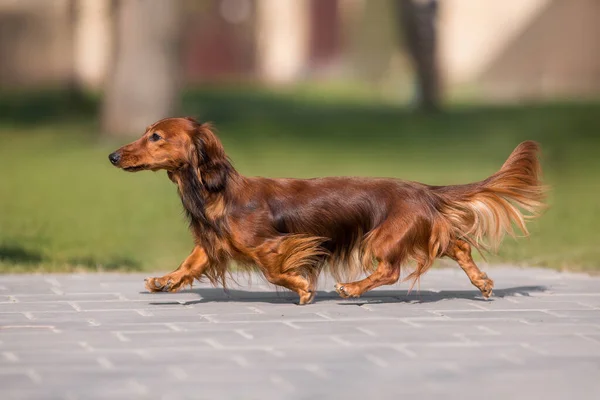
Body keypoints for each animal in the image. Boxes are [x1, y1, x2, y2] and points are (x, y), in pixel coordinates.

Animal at [108, 117, 544, 304]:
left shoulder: (271, 245)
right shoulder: (210, 247)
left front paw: (302, 288)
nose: (112, 156)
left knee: (390, 270)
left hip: (383, 237)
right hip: (418, 230)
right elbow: (187, 265)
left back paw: (351, 288)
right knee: (459, 246)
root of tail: (421, 189)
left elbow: (275, 271)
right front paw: (163, 281)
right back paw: (482, 283)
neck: (217, 193)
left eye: (155, 136)